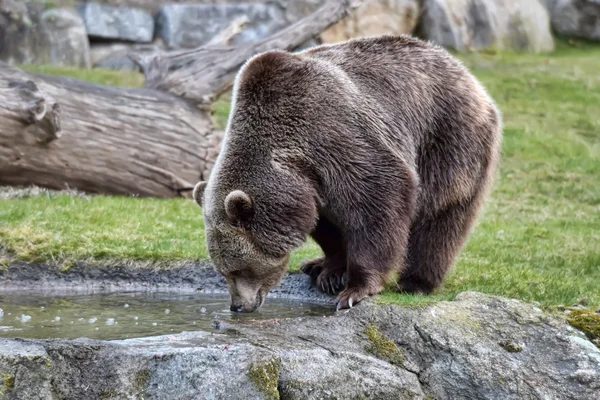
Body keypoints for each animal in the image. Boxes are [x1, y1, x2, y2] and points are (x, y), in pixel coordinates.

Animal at [193, 35, 502, 312]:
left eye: (237, 270)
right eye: (223, 271)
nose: (237, 305)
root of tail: (467, 75)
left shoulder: (338, 138)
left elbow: (379, 200)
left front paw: (355, 289)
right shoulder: (310, 185)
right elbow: (327, 224)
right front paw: (331, 271)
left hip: (447, 139)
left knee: (441, 215)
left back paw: (416, 282)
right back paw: (313, 265)